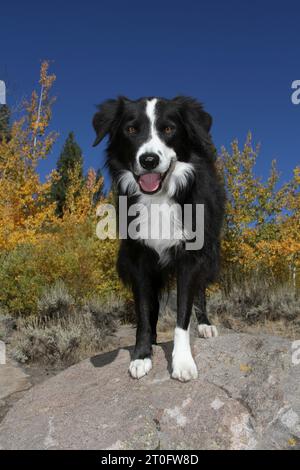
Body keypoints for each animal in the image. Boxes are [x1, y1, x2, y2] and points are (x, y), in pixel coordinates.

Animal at [92, 96, 224, 382]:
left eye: (168, 129)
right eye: (131, 130)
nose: (149, 160)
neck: (159, 199)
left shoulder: (190, 258)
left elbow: (183, 312)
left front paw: (182, 362)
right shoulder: (139, 259)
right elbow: (143, 310)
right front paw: (142, 355)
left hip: (210, 253)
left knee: (201, 290)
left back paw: (205, 325)